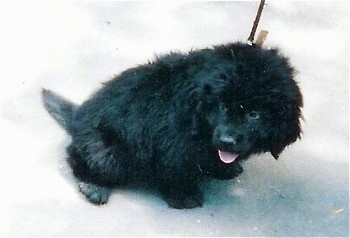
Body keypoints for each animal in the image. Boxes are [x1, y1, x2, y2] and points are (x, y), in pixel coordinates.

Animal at [42, 42, 302, 208]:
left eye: (254, 114)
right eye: (221, 105)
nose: (227, 140)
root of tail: (77, 117)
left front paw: (224, 168)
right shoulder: (171, 143)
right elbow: (176, 171)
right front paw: (184, 196)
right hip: (105, 149)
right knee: (79, 155)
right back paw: (93, 185)